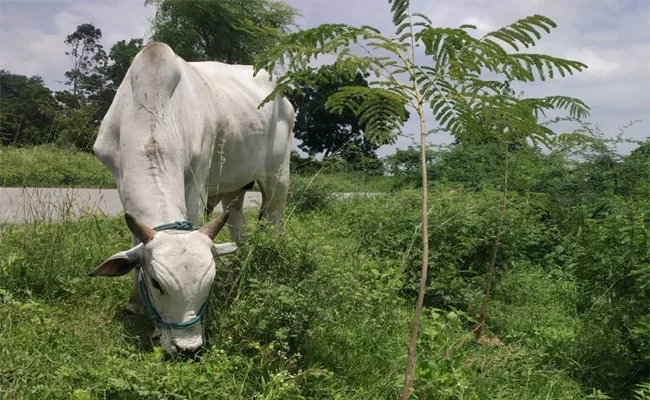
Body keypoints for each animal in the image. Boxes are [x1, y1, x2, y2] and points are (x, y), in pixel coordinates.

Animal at [86, 42, 294, 358]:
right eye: (156, 283)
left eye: (208, 282)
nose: (188, 348)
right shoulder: (118, 175)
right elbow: (134, 242)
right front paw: (135, 303)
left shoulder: (197, 174)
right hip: (235, 187)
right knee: (239, 227)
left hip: (278, 176)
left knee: (274, 223)